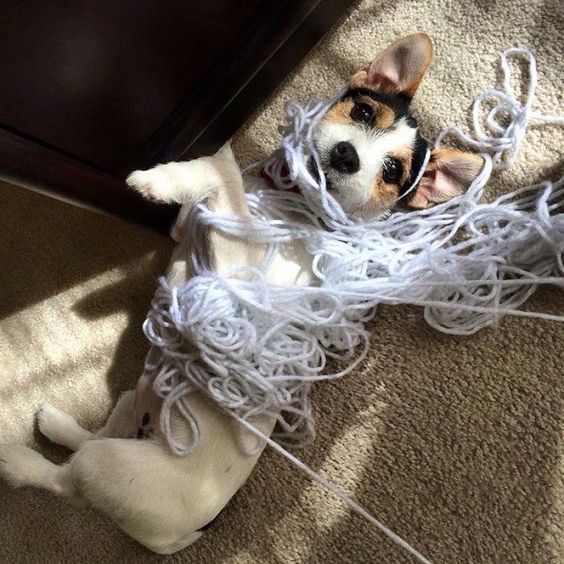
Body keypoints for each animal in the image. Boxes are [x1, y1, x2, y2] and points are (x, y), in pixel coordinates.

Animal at [1, 33, 480, 552]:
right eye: (364, 112)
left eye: (392, 171)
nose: (348, 156)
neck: (287, 200)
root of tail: (184, 534)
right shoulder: (189, 232)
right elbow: (203, 200)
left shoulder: (232, 277)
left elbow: (219, 173)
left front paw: (166, 175)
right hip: (133, 403)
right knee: (98, 434)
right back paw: (57, 424)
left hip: (109, 468)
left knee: (68, 484)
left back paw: (17, 461)